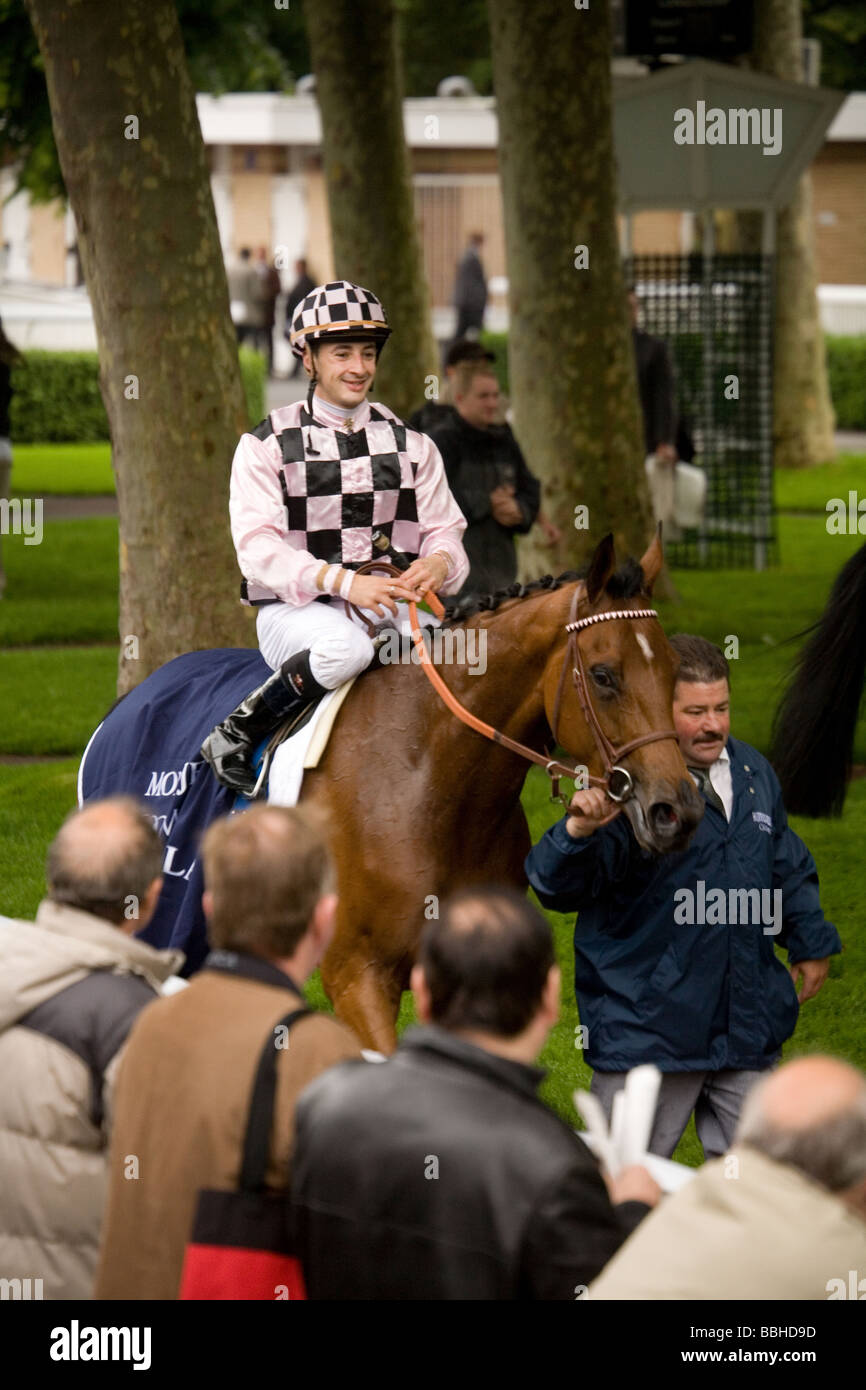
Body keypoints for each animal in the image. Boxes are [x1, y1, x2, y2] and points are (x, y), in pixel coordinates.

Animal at [81, 530, 706, 1050]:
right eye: (603, 676)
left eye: (674, 670)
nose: (676, 809)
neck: (427, 781)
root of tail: (134, 695)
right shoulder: (355, 974)